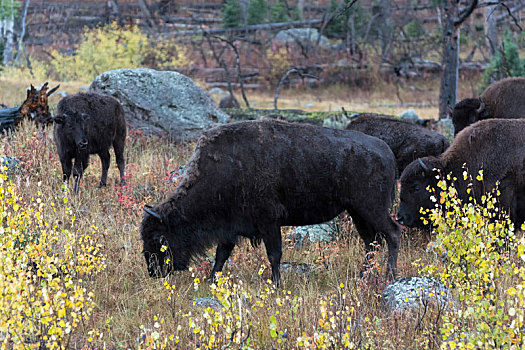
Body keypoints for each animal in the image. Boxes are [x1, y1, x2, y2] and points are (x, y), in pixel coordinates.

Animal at [141, 119, 400, 286]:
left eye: (160, 238)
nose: (153, 271)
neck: (224, 170)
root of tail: (386, 151)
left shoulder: (268, 222)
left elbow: (274, 254)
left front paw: (276, 284)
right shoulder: (230, 228)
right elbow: (221, 255)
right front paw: (211, 281)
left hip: (371, 209)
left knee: (392, 233)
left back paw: (390, 276)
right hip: (357, 213)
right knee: (371, 243)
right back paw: (362, 277)